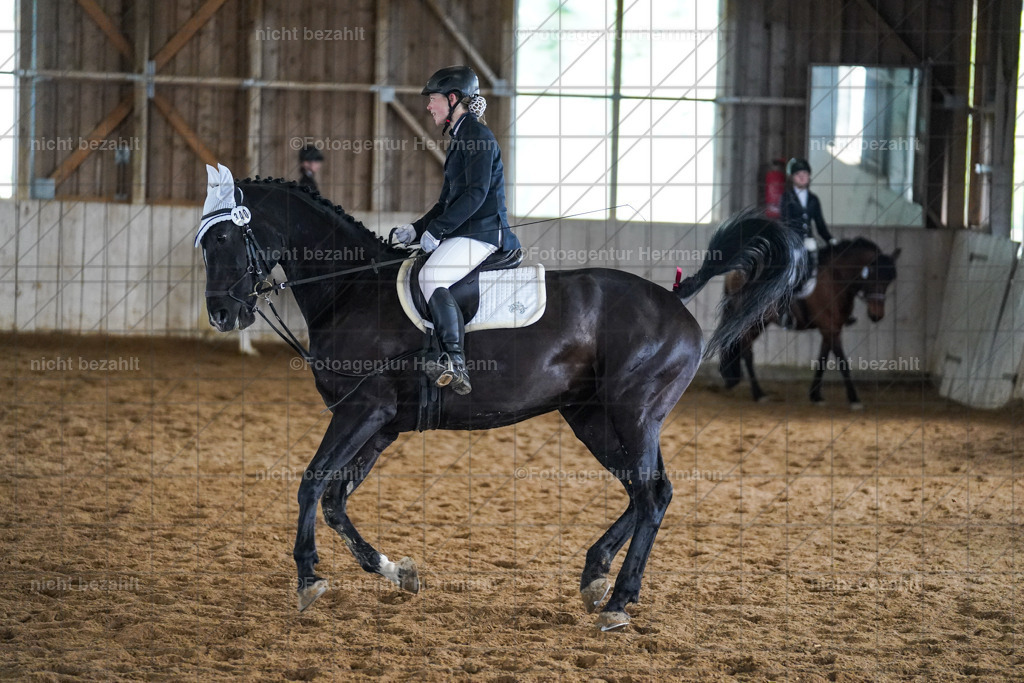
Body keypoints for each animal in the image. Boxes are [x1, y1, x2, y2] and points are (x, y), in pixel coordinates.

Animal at [195, 166, 802, 631]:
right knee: (648, 489)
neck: (352, 289)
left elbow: (311, 483)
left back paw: (617, 602)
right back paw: (595, 575)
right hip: (592, 418)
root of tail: (676, 301)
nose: (222, 315)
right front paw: (397, 571)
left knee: (652, 495)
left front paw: (308, 579)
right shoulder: (380, 423)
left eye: (222, 239)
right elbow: (335, 500)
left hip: (634, 414)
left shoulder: (362, 411)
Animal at [719, 237, 900, 408]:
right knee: (747, 351)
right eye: (872, 275)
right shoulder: (829, 327)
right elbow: (842, 361)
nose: (877, 316)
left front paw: (816, 395)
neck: (835, 278)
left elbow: (822, 359)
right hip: (750, 320)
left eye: (890, 280)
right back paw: (759, 394)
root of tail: (735, 271)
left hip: (759, 322)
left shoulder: (831, 328)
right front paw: (854, 399)